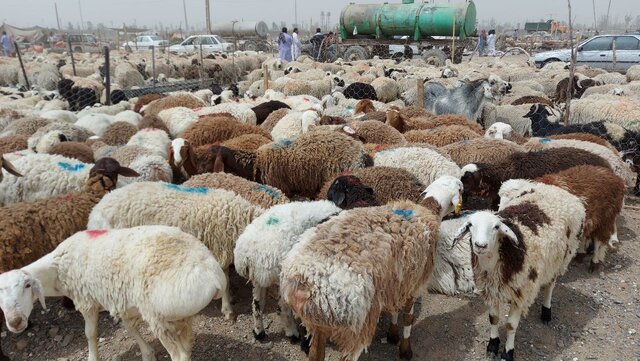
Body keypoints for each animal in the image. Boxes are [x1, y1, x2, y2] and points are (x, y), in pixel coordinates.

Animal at [0, 225, 226, 360]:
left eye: (27, 285)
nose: (15, 322)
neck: (57, 268)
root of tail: (213, 273)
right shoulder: (122, 302)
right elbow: (129, 327)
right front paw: (147, 353)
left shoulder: (87, 302)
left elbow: (90, 334)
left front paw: (92, 357)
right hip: (179, 314)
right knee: (186, 347)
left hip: (157, 314)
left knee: (178, 355)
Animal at [282, 176, 462, 360]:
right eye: (461, 188)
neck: (426, 209)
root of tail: (305, 284)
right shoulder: (414, 283)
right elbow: (408, 319)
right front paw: (405, 350)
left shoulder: (397, 280)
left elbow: (395, 310)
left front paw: (392, 335)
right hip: (356, 326)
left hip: (319, 323)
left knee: (315, 354)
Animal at [450, 180, 584, 361]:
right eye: (470, 225)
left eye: (496, 227)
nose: (480, 245)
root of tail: (557, 189)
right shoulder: (491, 289)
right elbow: (494, 318)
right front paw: (492, 345)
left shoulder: (521, 292)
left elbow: (510, 326)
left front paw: (508, 352)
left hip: (561, 258)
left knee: (550, 285)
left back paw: (546, 311)